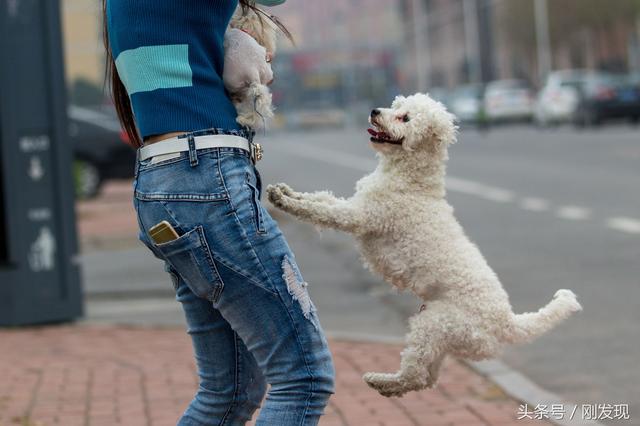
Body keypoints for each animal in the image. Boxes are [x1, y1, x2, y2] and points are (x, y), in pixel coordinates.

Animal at [268, 91, 584, 398]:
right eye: (396, 106)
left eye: (405, 118)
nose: (374, 110)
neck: (411, 181)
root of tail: (507, 322)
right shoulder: (356, 203)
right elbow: (320, 198)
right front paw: (286, 192)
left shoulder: (359, 216)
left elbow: (320, 211)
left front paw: (284, 202)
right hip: (441, 338)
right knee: (427, 379)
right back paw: (386, 385)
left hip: (432, 327)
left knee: (416, 375)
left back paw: (381, 381)